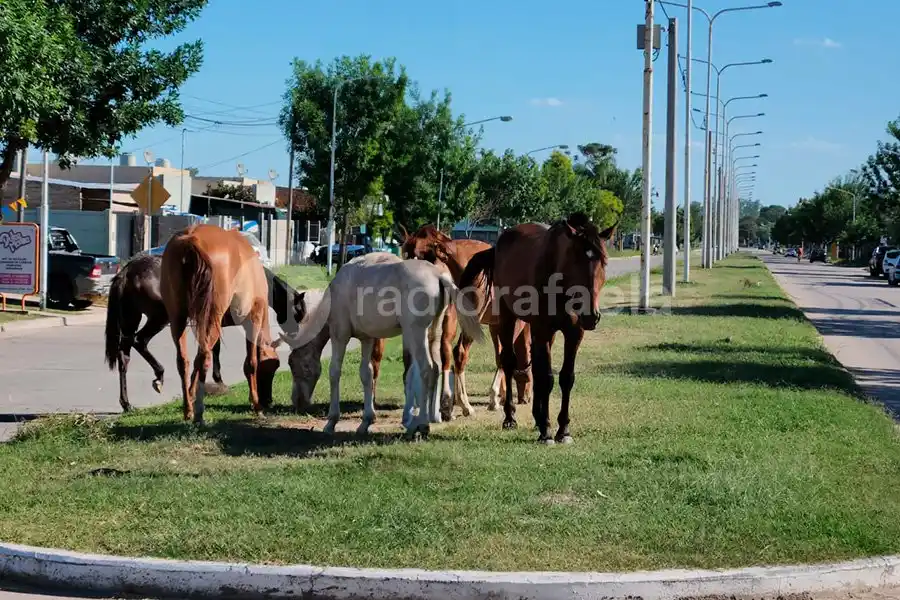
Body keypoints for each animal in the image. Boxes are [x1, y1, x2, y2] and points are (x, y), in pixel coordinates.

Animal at [104, 253, 303, 413]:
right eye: (272, 367)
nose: (268, 400)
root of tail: (127, 272)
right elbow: (242, 360)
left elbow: (213, 351)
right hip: (159, 316)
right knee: (140, 341)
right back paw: (159, 375)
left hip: (131, 317)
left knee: (124, 356)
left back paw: (126, 403)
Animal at [160, 224, 283, 425]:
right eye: (272, 366)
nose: (269, 400)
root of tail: (191, 239)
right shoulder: (253, 318)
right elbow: (251, 363)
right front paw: (256, 405)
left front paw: (191, 394)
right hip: (212, 317)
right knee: (203, 358)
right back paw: (199, 414)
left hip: (178, 316)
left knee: (184, 360)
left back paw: (188, 409)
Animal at [279, 251, 484, 438]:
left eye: (294, 364)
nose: (298, 401)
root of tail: (437, 275)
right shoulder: (367, 338)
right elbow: (367, 373)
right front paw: (366, 421)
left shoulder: (340, 335)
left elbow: (334, 372)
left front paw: (331, 421)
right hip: (432, 332)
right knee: (437, 367)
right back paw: (427, 418)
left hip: (416, 331)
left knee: (427, 368)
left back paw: (422, 424)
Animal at [399, 224, 533, 418]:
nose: (527, 397)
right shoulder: (513, 323)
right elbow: (503, 356)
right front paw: (494, 398)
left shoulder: (495, 325)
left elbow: (499, 355)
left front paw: (499, 396)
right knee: (458, 352)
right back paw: (461, 404)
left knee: (434, 350)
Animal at [458, 212, 616, 444]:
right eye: (575, 261)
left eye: (603, 262)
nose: (591, 316)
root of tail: (497, 246)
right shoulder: (543, 329)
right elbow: (547, 378)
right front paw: (547, 431)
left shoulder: (574, 334)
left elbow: (566, 378)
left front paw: (563, 430)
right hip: (509, 318)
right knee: (509, 362)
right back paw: (510, 418)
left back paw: (537, 418)